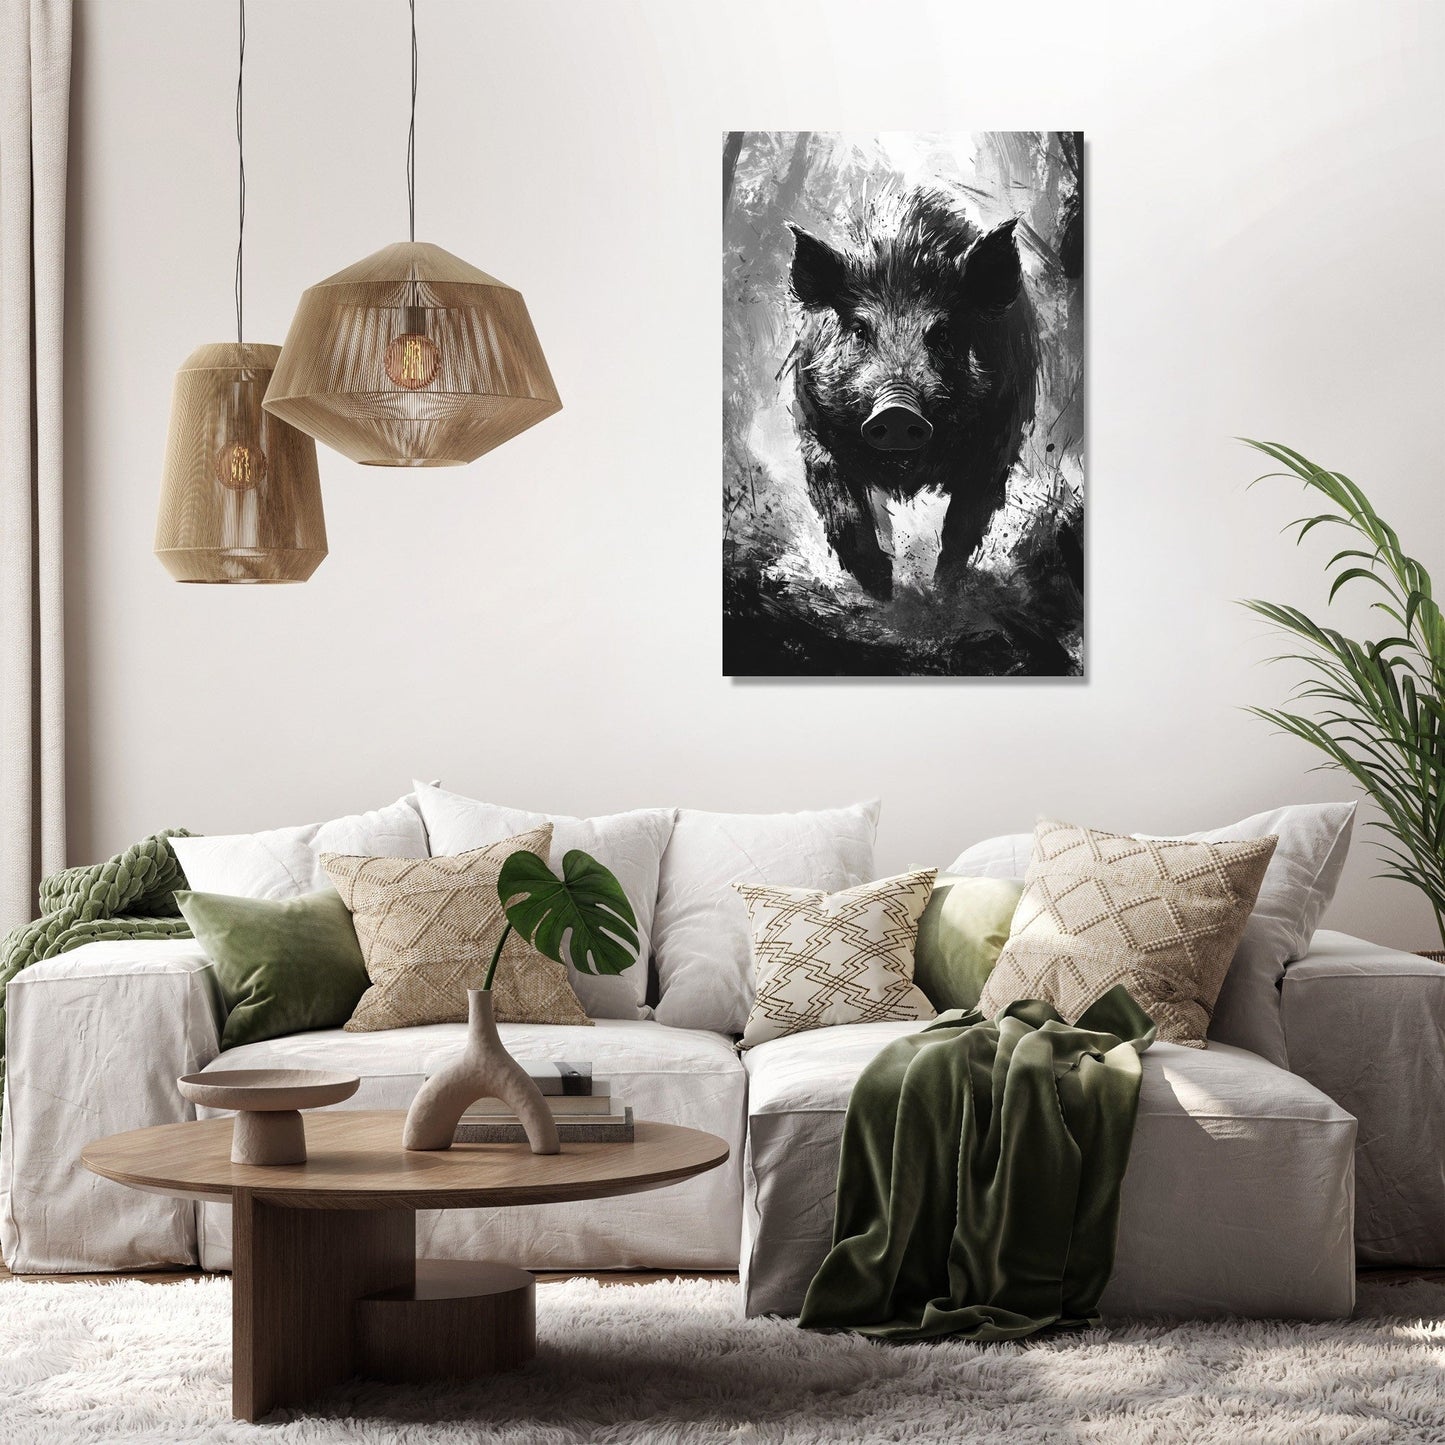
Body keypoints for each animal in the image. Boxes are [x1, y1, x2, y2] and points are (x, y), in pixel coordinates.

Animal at [786, 191, 1037, 600]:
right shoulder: (812, 427)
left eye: (943, 334)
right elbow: (845, 513)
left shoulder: (999, 439)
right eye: (860, 330)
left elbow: (962, 527)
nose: (897, 412)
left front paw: (941, 593)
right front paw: (883, 594)